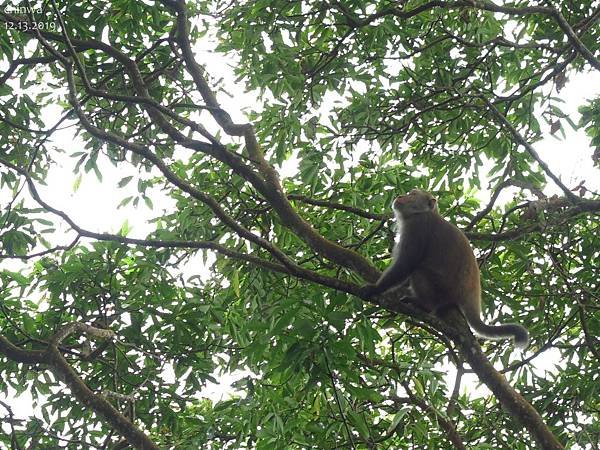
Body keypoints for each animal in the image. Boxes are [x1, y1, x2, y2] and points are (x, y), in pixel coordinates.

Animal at [364, 188, 528, 350]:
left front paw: (375, 288)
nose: (400, 196)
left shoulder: (418, 226)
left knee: (419, 271)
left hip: (443, 289)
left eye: (413, 194)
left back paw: (424, 305)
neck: (423, 213)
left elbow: (407, 263)